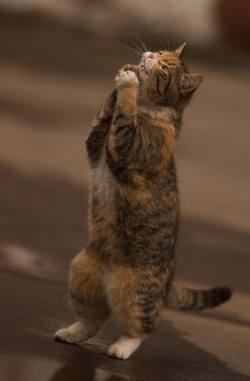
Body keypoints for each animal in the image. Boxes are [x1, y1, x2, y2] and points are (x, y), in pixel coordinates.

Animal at [54, 43, 232, 358]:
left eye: (165, 67)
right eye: (160, 53)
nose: (149, 56)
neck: (147, 109)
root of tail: (169, 279)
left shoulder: (129, 145)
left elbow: (124, 119)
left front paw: (128, 83)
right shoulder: (95, 146)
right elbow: (103, 118)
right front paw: (124, 75)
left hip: (135, 294)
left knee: (140, 327)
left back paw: (122, 347)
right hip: (82, 272)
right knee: (92, 319)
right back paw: (72, 332)